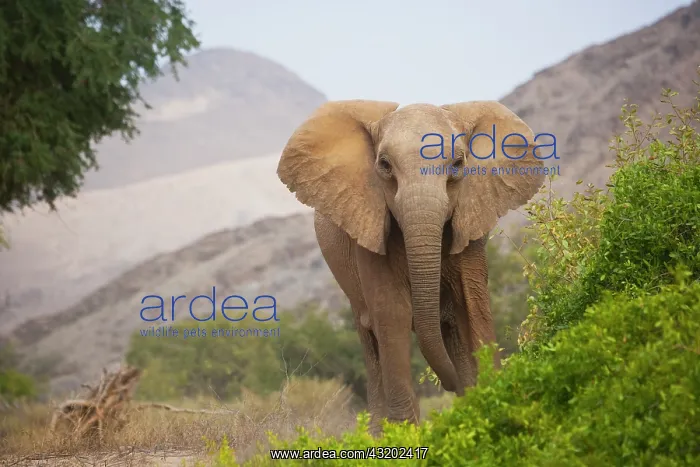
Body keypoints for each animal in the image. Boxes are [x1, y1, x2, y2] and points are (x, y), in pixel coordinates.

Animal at [276, 100, 546, 431]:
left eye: (458, 164)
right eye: (384, 165)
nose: (451, 388)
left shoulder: (471, 223)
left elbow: (472, 305)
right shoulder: (370, 226)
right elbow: (393, 313)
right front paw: (404, 434)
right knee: (371, 340)